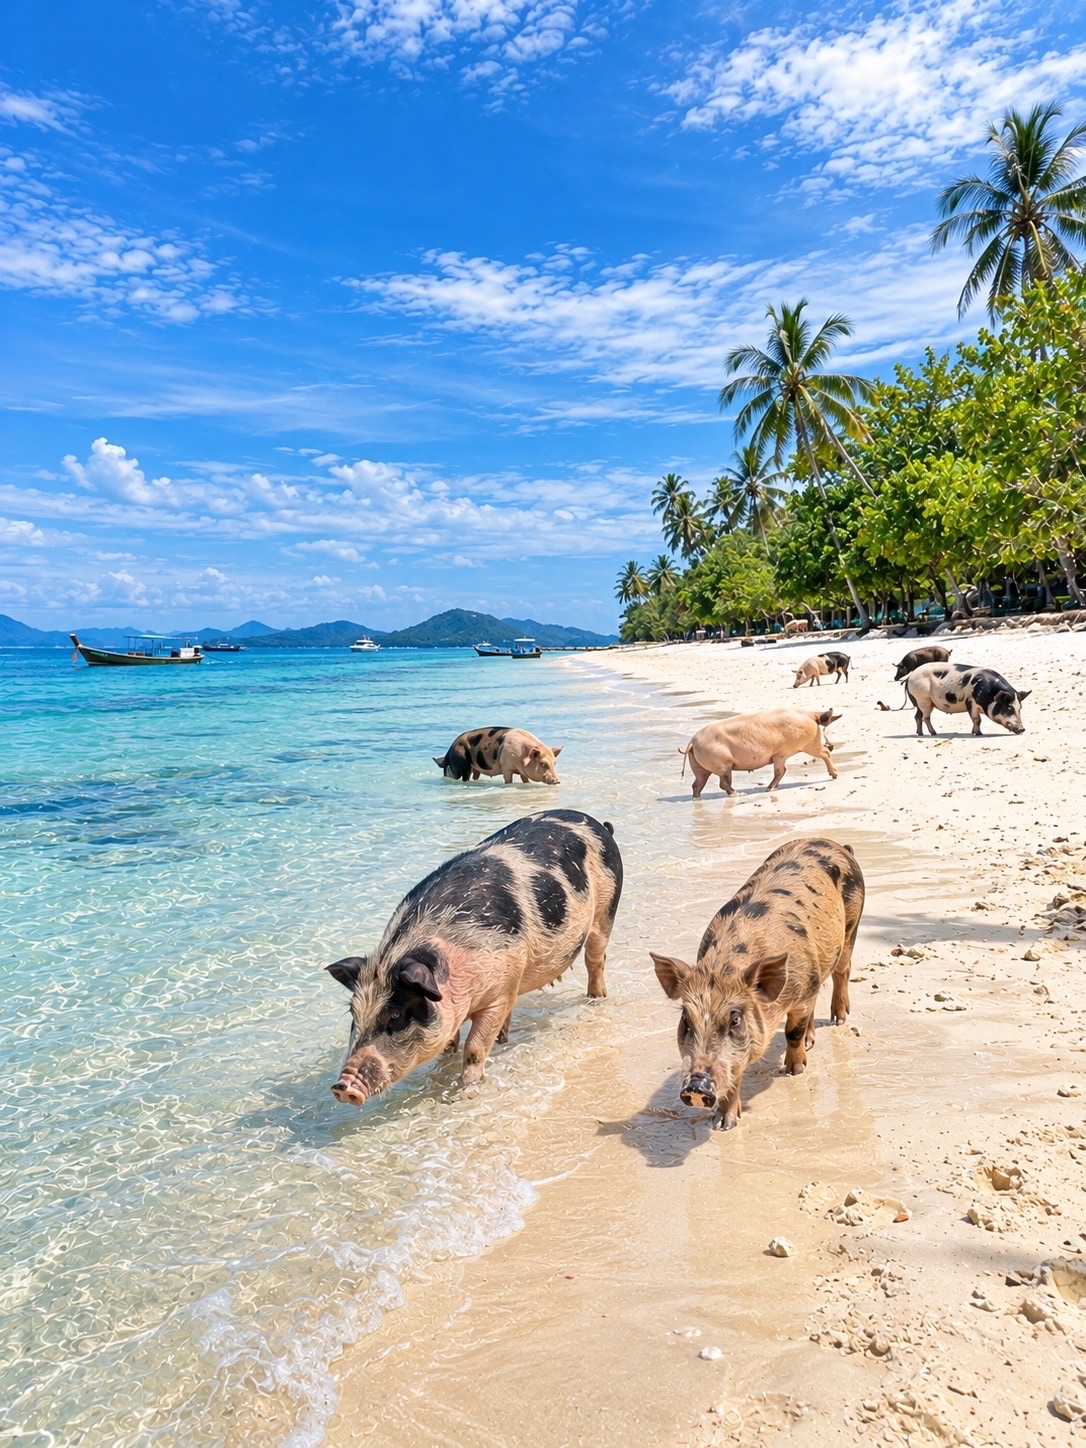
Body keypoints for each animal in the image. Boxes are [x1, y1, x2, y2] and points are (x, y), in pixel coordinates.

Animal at [327, 809, 623, 1107]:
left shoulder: (499, 993)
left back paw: (596, 1000)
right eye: (353, 1014)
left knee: (595, 960)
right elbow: (451, 1042)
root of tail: (601, 826)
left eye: (396, 1015)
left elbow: (475, 1048)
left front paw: (465, 1093)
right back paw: (504, 1038)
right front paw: (446, 1063)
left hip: (606, 911)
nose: (342, 1085)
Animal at [650, 836, 865, 1130]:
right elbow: (736, 1068)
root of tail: (836, 844)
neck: (725, 967)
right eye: (685, 1019)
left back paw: (839, 1020)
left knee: (842, 971)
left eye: (735, 1019)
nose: (695, 1088)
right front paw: (723, 1124)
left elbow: (792, 1033)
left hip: (851, 926)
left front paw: (793, 1070)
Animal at [680, 708, 840, 799]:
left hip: (700, 767)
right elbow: (780, 771)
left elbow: (781, 771)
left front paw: (771, 788)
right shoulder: (781, 754)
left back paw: (697, 799)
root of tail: (692, 742)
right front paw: (769, 789)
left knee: (697, 784)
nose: (832, 745)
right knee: (723, 783)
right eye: (823, 729)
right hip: (722, 764)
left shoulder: (780, 754)